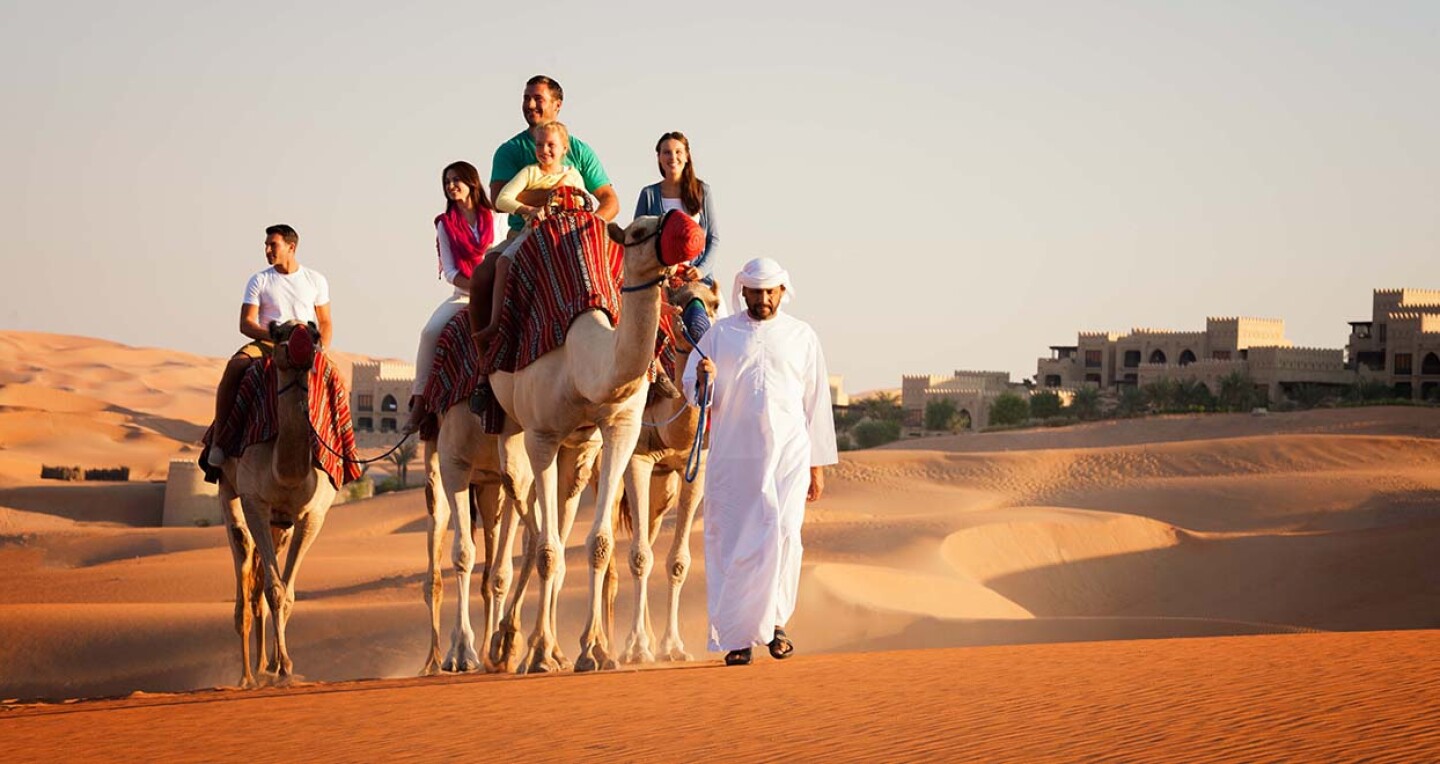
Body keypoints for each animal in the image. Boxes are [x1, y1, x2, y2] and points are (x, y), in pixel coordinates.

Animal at [216, 319, 339, 690]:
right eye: (278, 331)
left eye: (314, 333)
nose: (301, 345)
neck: (285, 471)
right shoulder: (255, 502)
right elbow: (274, 589)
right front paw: (282, 665)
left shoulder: (312, 516)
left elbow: (287, 594)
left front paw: (280, 667)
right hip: (230, 490)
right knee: (244, 555)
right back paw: (246, 675)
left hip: (280, 524)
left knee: (260, 581)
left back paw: (262, 667)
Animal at [489, 212, 702, 673]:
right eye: (638, 232)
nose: (687, 229)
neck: (581, 360)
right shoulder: (542, 435)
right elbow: (548, 549)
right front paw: (542, 654)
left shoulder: (618, 429)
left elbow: (599, 543)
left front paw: (594, 650)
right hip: (510, 431)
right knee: (524, 515)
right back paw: (508, 646)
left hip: (578, 451)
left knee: (550, 525)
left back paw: (540, 645)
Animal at [607, 279, 720, 664]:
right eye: (677, 303)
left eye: (715, 303)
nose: (704, 337)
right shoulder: (637, 459)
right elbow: (639, 556)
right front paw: (638, 648)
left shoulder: (695, 467)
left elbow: (676, 560)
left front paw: (673, 647)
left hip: (661, 488)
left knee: (649, 533)